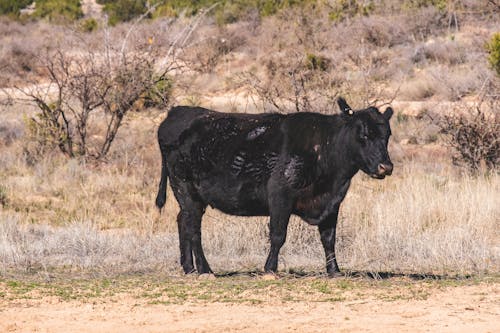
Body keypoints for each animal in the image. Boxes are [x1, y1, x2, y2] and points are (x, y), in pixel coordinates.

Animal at [156, 97, 394, 276]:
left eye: (387, 136)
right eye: (364, 135)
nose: (386, 166)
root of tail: (177, 112)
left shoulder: (332, 202)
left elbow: (329, 238)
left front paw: (334, 271)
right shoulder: (280, 196)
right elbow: (278, 235)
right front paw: (270, 269)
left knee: (183, 221)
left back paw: (189, 268)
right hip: (187, 191)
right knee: (193, 229)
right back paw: (205, 270)